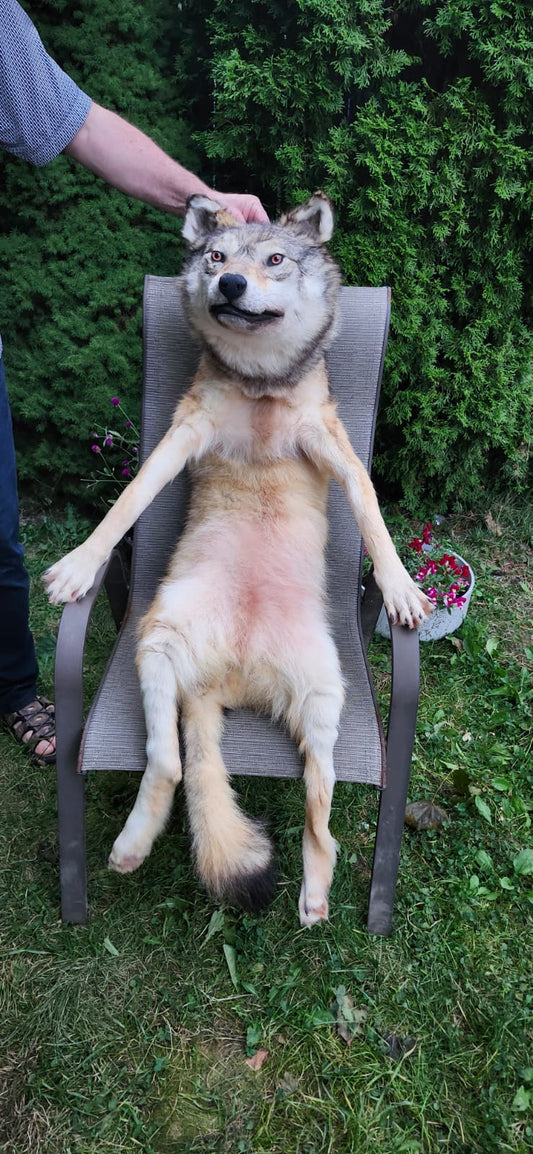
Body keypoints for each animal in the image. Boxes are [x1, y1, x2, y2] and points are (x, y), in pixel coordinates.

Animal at [45, 192, 432, 926]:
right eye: (217, 257)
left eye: (275, 258)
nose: (229, 284)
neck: (260, 388)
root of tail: (231, 678)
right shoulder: (178, 438)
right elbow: (125, 503)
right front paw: (81, 563)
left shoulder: (334, 446)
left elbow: (373, 516)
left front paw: (399, 586)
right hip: (158, 640)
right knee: (170, 764)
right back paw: (133, 845)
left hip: (325, 697)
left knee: (320, 811)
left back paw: (314, 895)